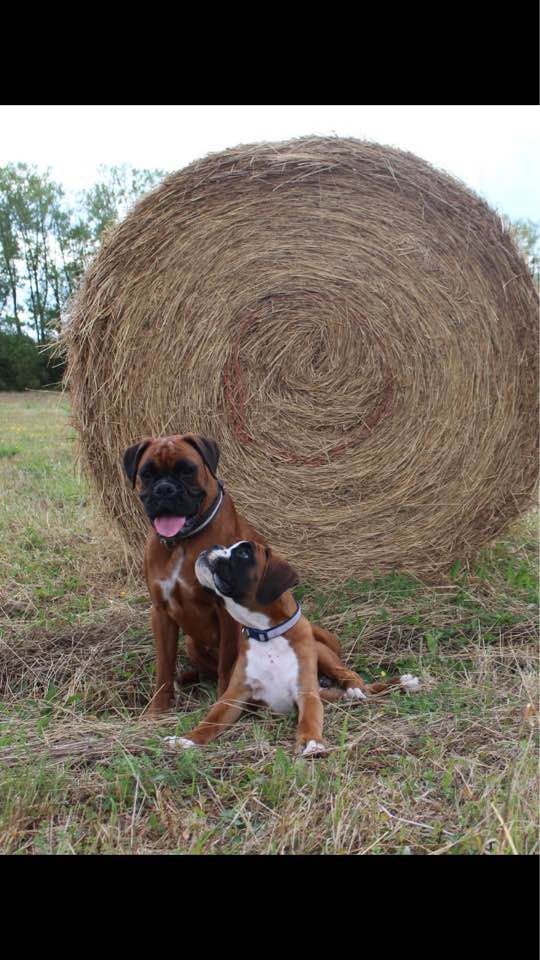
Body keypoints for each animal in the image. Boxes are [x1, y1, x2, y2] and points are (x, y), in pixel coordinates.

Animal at [122, 438, 342, 716]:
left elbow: (227, 664)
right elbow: (164, 666)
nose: (164, 490)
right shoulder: (160, 612)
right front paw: (158, 710)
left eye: (187, 470)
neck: (183, 542)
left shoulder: (224, 612)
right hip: (191, 643)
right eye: (147, 473)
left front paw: (222, 699)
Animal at [165, 540, 422, 756]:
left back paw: (388, 684)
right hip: (326, 692)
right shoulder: (233, 696)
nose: (212, 546)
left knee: (357, 681)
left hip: (325, 656)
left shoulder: (306, 694)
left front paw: (311, 741)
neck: (267, 634)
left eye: (244, 553)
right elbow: (211, 720)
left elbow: (310, 719)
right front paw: (187, 739)